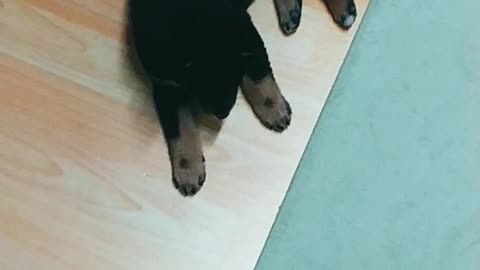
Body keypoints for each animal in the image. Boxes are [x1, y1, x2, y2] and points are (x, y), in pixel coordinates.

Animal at [129, 1, 290, 197]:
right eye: (198, 87)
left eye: (234, 79)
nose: (223, 114)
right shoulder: (165, 84)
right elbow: (181, 127)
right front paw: (188, 169)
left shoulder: (248, 36)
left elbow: (259, 76)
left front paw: (274, 110)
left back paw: (290, 13)